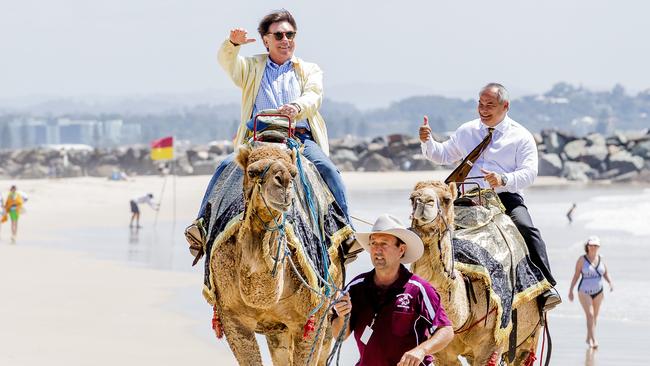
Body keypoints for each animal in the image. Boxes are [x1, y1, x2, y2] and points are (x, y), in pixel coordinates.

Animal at [208, 144, 342, 366]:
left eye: (294, 174)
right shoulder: (231, 317)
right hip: (277, 330)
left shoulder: (312, 316)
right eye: (252, 172)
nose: (284, 181)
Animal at [410, 181, 548, 366]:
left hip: (528, 339)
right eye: (412, 198)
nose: (424, 201)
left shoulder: (491, 345)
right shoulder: (442, 353)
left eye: (447, 199)